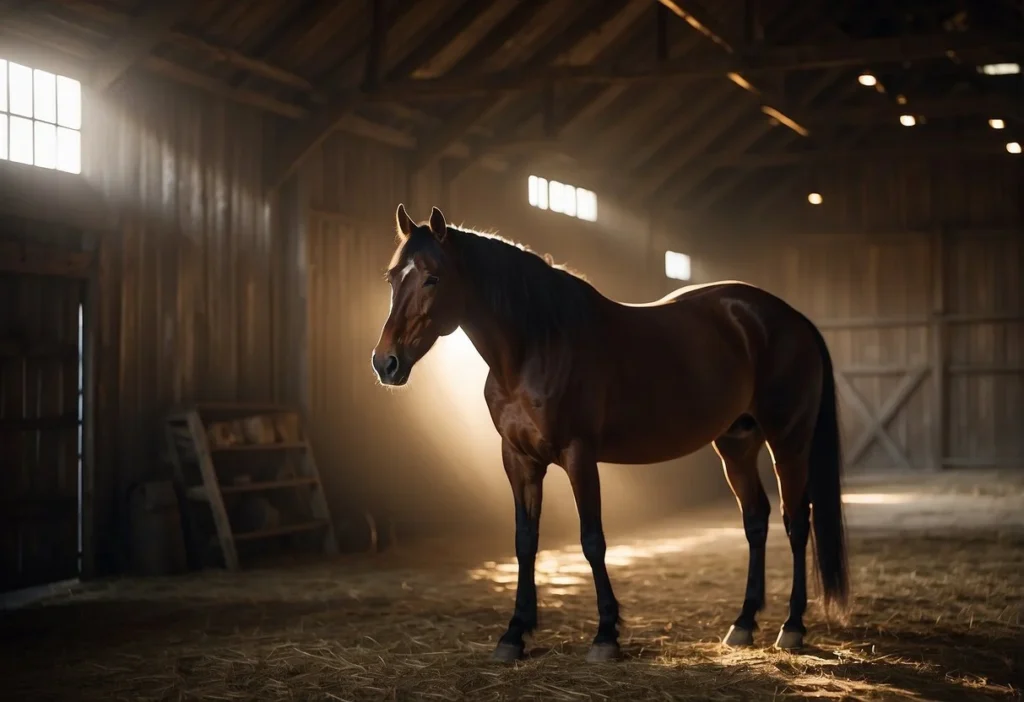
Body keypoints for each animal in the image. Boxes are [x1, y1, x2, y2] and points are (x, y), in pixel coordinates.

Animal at [370, 204, 847, 667]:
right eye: (392, 277)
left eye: (433, 277)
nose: (385, 363)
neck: (536, 345)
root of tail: (792, 319)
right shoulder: (519, 460)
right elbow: (525, 542)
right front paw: (514, 633)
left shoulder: (579, 456)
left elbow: (592, 541)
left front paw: (605, 635)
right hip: (736, 443)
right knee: (756, 519)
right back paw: (744, 623)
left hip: (788, 441)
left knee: (796, 522)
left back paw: (793, 626)